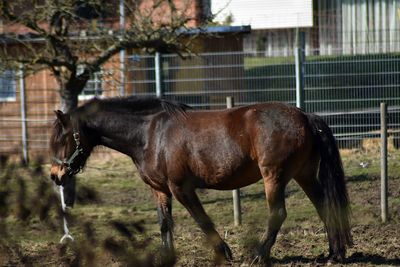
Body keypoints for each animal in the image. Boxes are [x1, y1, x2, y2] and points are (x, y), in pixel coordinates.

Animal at [50, 97, 354, 266]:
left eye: (63, 138)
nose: (55, 175)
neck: (150, 134)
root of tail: (305, 116)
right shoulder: (159, 189)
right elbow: (164, 223)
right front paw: (167, 257)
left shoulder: (181, 188)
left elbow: (202, 220)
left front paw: (225, 252)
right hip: (305, 175)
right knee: (325, 207)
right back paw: (334, 254)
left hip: (274, 177)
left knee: (278, 213)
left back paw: (259, 255)